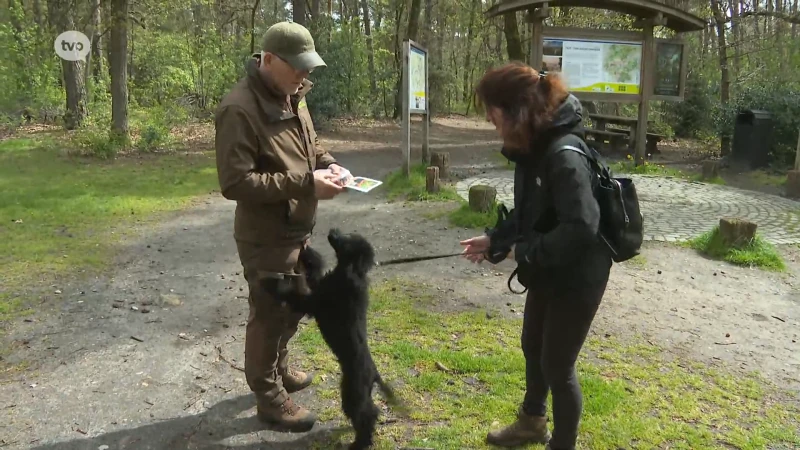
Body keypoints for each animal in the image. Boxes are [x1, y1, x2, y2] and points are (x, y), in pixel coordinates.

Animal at [262, 229, 404, 450]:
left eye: (347, 240)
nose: (333, 231)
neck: (351, 271)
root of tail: (374, 373)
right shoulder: (318, 287)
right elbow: (313, 271)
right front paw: (306, 252)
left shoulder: (315, 301)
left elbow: (294, 295)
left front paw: (270, 283)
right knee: (371, 412)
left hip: (352, 394)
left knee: (366, 416)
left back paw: (359, 443)